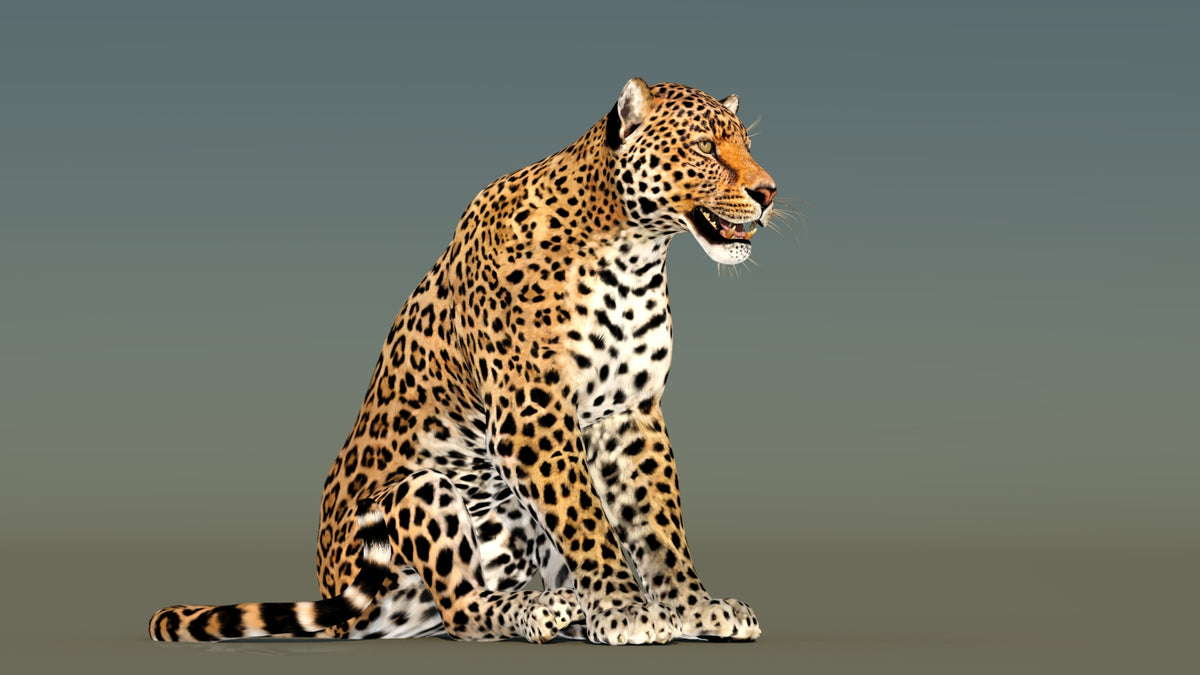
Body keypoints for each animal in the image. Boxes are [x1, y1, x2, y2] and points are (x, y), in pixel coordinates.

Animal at [149, 78, 777, 645]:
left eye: (747, 145)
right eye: (704, 147)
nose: (768, 192)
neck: (634, 252)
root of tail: (336, 596)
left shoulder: (629, 414)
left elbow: (657, 523)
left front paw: (694, 608)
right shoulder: (532, 418)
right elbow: (587, 519)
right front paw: (624, 609)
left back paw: (563, 606)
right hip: (422, 489)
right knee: (462, 610)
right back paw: (543, 611)